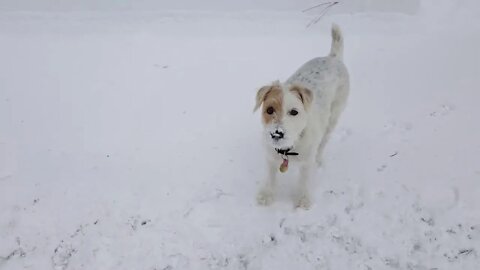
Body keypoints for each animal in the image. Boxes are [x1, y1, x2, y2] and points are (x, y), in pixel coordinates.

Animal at [255, 24, 348, 209]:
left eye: (294, 112)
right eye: (269, 110)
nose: (277, 134)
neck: (289, 148)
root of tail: (333, 58)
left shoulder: (306, 164)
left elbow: (304, 181)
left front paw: (303, 199)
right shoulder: (270, 158)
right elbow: (270, 177)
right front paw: (266, 195)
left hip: (333, 118)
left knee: (323, 143)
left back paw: (319, 160)